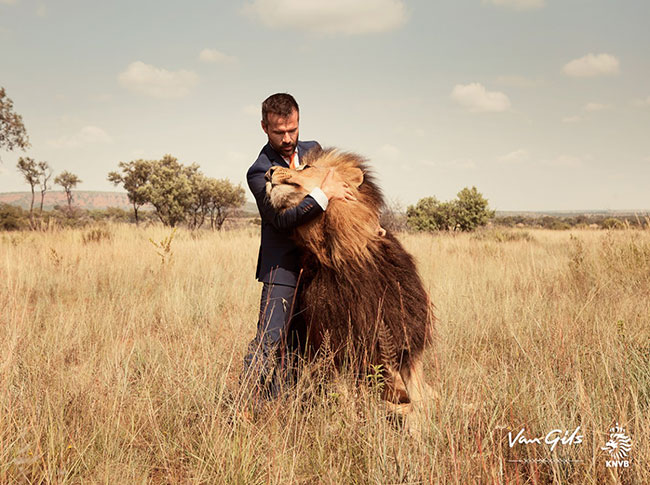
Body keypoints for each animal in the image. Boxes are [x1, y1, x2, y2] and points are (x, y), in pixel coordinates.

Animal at [264, 147, 436, 420]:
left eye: (305, 167)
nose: (268, 172)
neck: (338, 249)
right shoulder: (336, 342)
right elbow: (347, 403)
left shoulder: (405, 338)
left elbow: (421, 401)